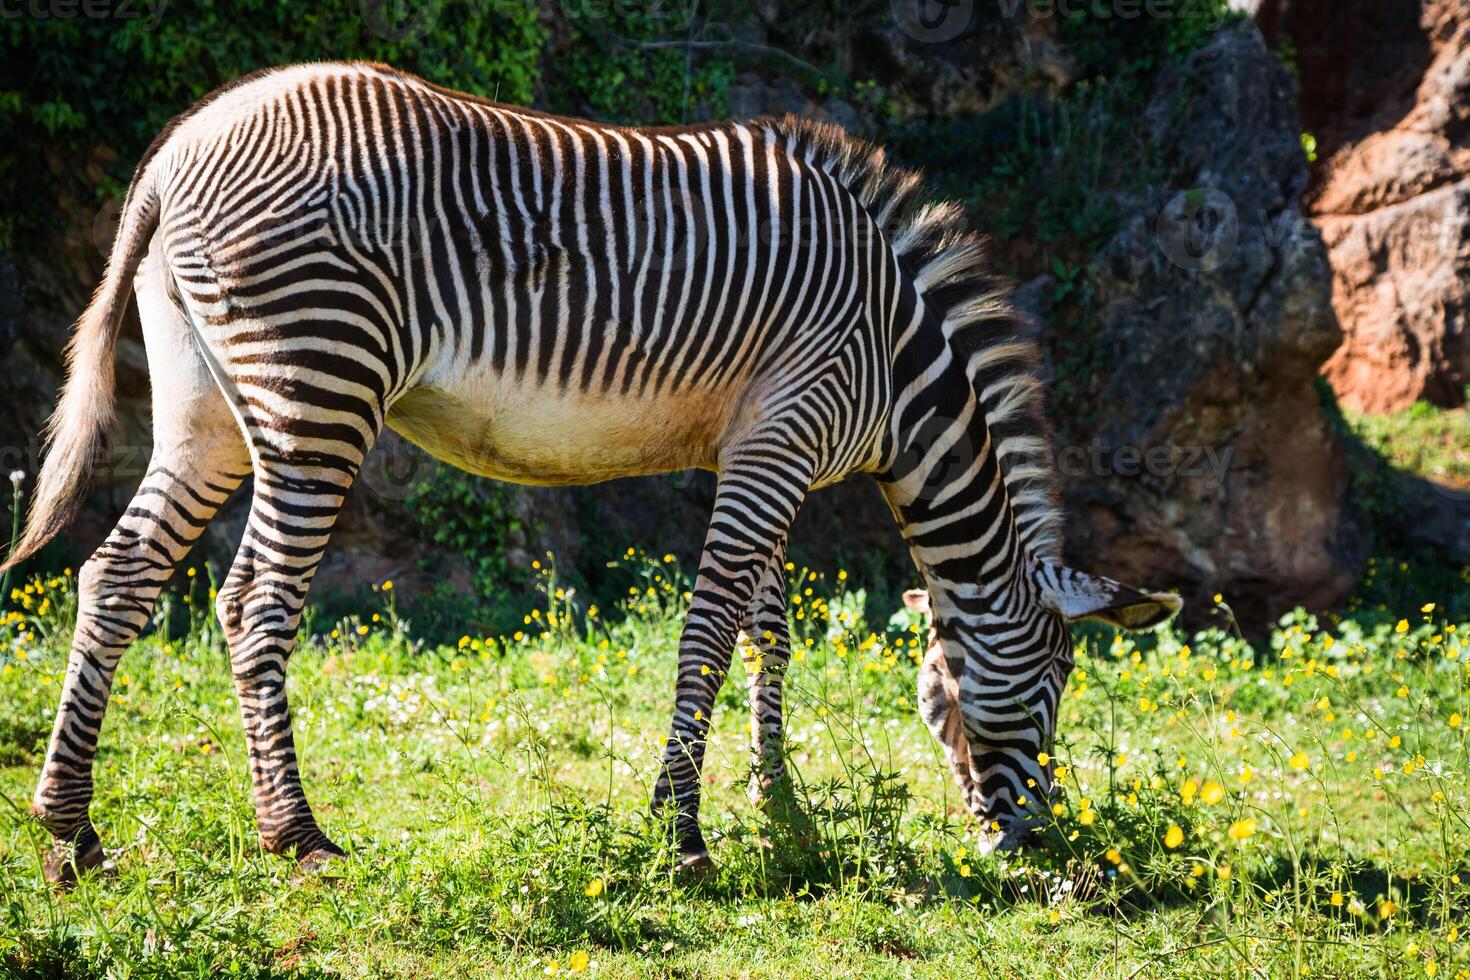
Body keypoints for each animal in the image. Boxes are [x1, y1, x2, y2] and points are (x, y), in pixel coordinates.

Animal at [0, 65, 1170, 887]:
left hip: (205, 407)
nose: (1029, 843)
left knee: (117, 573)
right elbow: (710, 630)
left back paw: (71, 829)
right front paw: (684, 832)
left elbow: (768, 629)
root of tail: (177, 149)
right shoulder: (784, 434)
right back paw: (296, 835)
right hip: (318, 380)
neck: (894, 362)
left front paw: (780, 809)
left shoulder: (760, 444)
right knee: (253, 603)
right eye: (1056, 681)